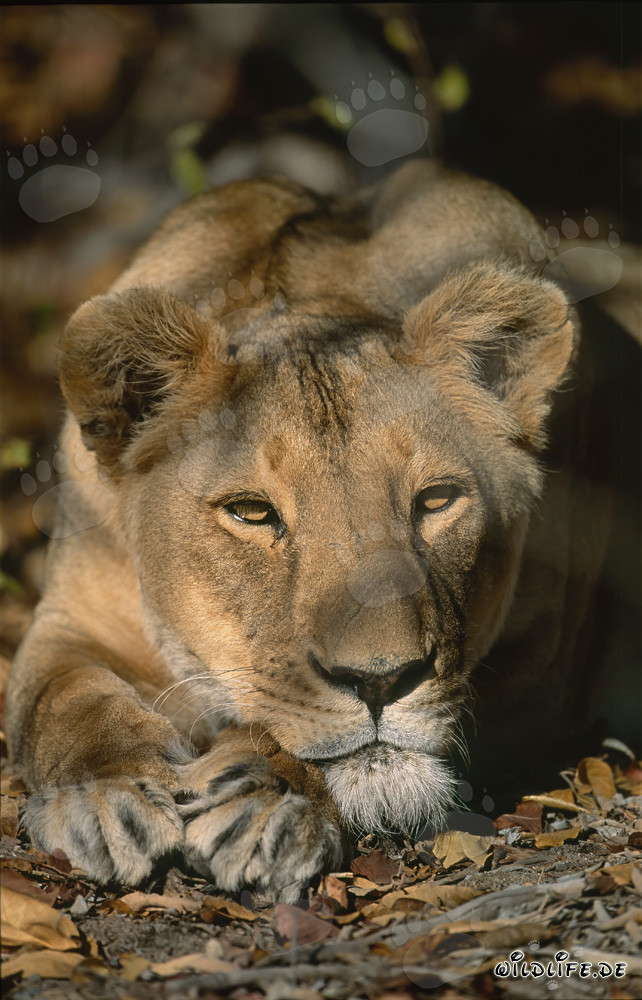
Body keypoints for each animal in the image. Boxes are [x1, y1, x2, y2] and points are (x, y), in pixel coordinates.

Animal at [6, 160, 638, 900]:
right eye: (253, 513)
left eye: (436, 501)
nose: (381, 682)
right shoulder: (71, 618)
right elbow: (63, 704)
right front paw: (106, 798)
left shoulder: (544, 664)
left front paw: (266, 799)